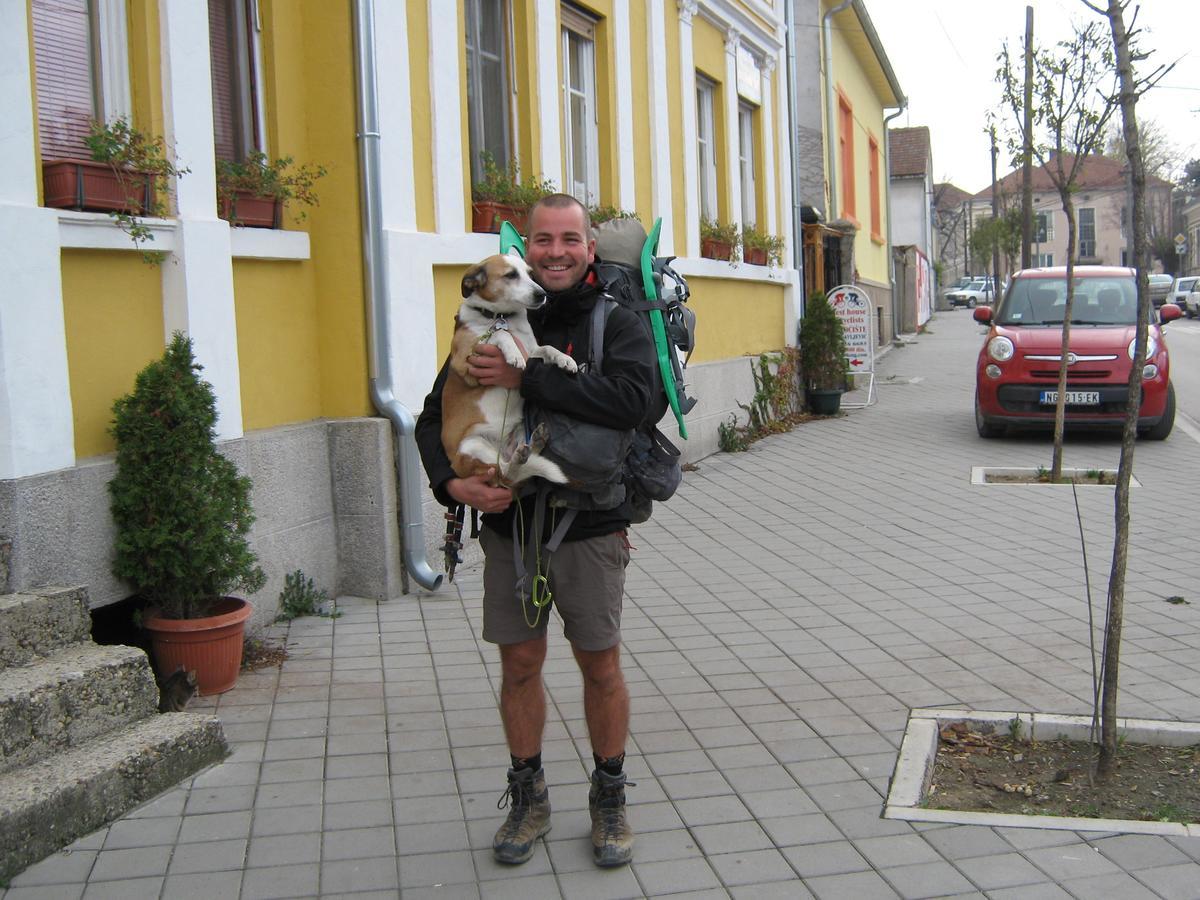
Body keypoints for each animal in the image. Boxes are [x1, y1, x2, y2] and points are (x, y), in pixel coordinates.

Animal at [441, 250, 576, 489]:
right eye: (511, 275)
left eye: (530, 274)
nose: (542, 294)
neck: (501, 317)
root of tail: (502, 450)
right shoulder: (465, 359)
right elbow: (500, 334)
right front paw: (512, 353)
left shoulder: (532, 350)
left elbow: (548, 348)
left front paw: (565, 359)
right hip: (472, 446)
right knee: (503, 473)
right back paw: (516, 461)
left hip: (520, 429)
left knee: (517, 467)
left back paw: (533, 445)